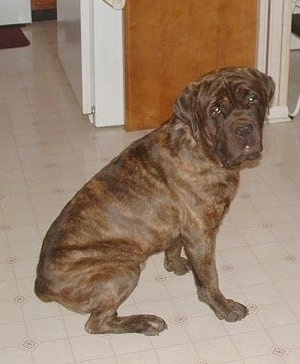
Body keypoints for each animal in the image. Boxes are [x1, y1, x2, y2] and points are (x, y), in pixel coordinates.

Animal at [34, 67, 274, 336]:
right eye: (215, 110)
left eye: (252, 99)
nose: (244, 130)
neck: (200, 147)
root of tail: (42, 285)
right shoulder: (200, 233)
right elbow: (210, 276)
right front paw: (223, 307)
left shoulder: (185, 230)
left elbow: (175, 246)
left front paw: (175, 264)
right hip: (124, 270)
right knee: (96, 323)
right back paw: (145, 322)